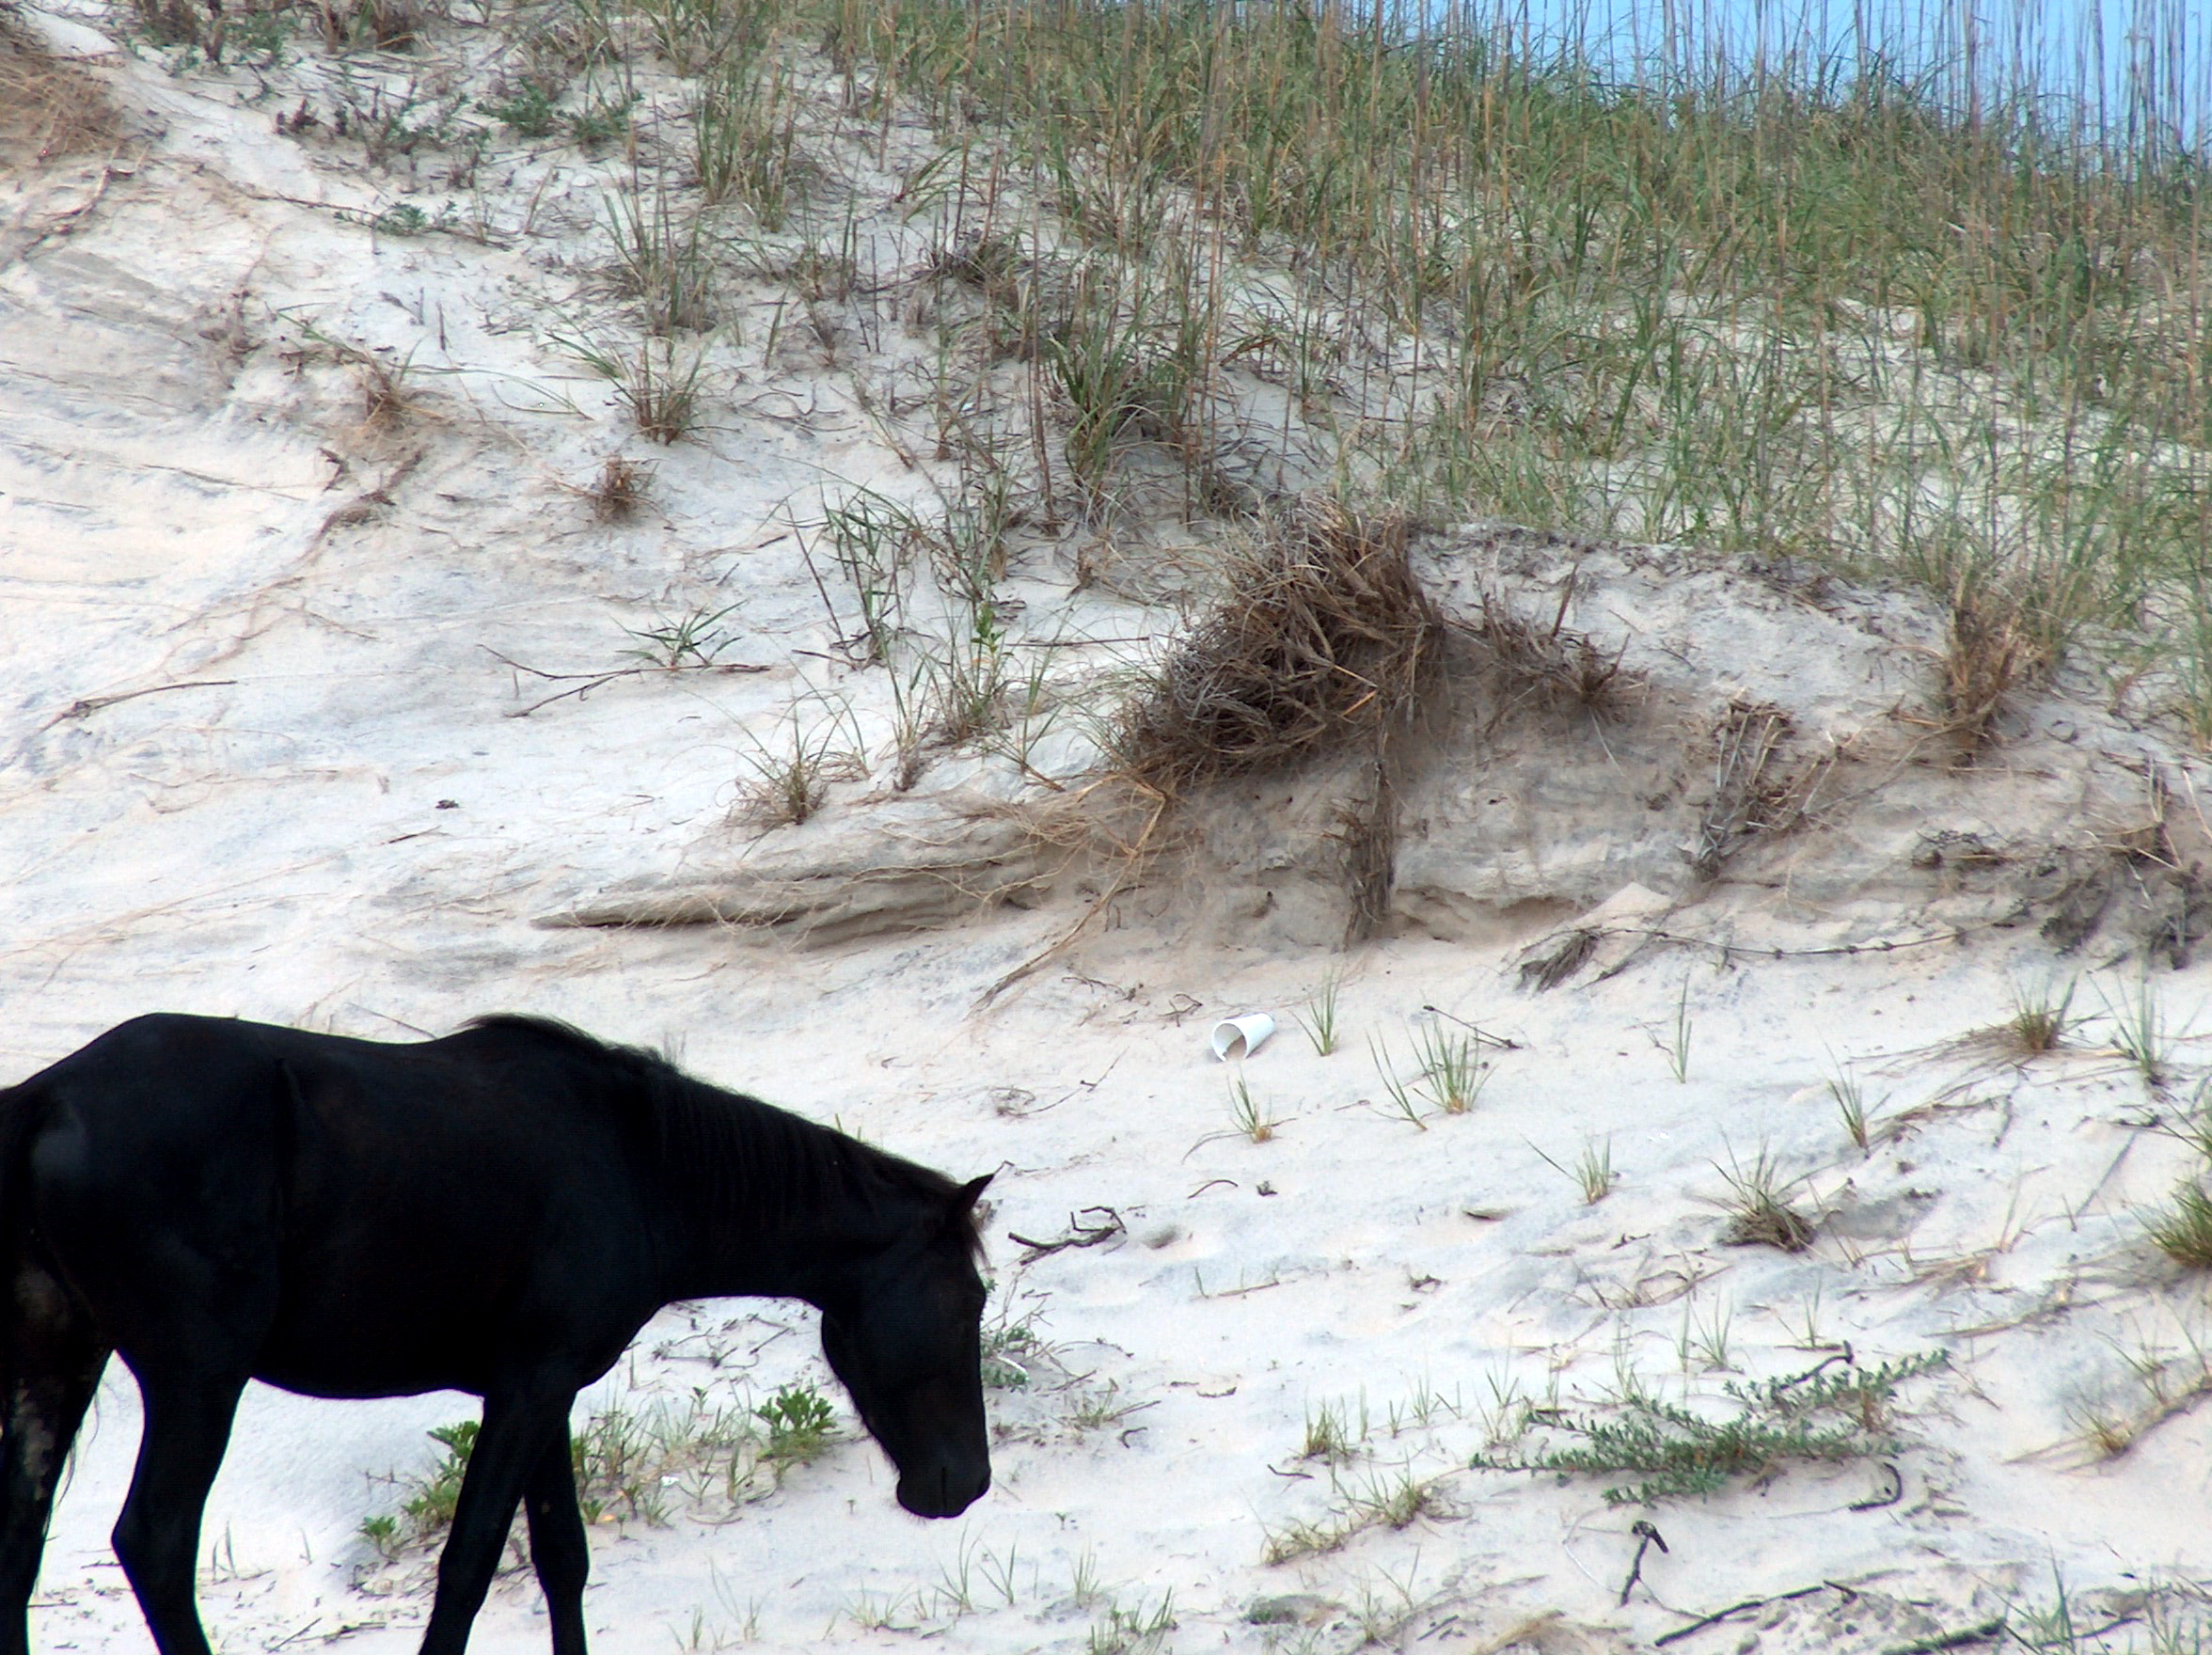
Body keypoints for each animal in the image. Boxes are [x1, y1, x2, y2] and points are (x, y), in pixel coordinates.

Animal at [0, 1008, 995, 1655]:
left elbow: (561, 1557)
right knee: (157, 1546)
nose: (966, 1483)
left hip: (58, 1364)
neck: (639, 1161)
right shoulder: (530, 1386)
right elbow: (472, 1562)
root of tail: (44, 1098)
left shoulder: (540, 1389)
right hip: (197, 1380)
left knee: (23, 1547)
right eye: (968, 1301)